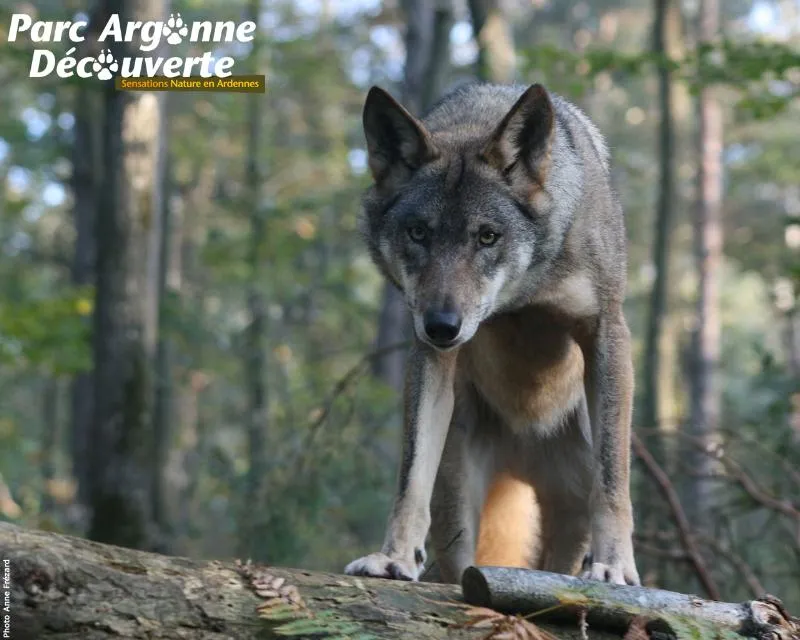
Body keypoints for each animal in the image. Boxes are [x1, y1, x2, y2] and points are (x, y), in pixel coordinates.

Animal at [342, 82, 636, 588]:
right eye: (418, 233)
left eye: (487, 236)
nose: (442, 325)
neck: (521, 300)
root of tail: (520, 457)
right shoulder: (430, 353)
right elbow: (409, 477)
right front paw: (392, 558)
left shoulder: (606, 330)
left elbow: (613, 479)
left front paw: (614, 565)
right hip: (458, 502)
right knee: (461, 568)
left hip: (568, 515)